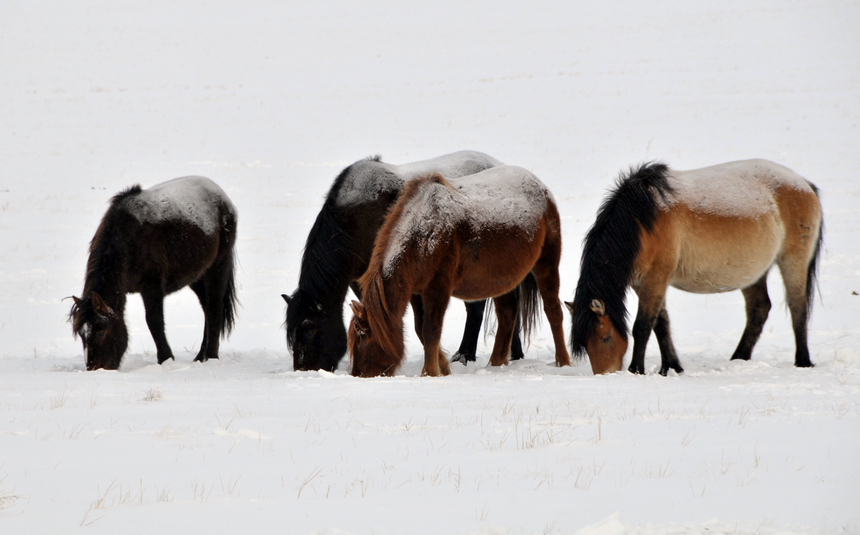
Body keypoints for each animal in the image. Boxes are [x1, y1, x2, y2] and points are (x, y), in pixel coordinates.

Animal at [69, 178, 239, 370]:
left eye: (100, 331)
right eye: (81, 335)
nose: (95, 368)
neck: (129, 237)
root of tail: (223, 197)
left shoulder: (152, 286)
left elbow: (154, 321)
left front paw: (166, 359)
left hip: (218, 267)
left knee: (214, 309)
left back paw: (211, 357)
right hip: (197, 276)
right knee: (207, 310)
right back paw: (200, 356)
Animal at [282, 151, 528, 372]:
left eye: (311, 329)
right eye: (291, 336)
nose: (304, 370)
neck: (356, 221)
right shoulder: (363, 280)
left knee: (479, 309)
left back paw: (468, 355)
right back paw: (510, 354)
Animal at [346, 166, 576, 376]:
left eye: (363, 339)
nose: (359, 375)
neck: (423, 233)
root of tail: (540, 186)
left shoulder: (438, 288)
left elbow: (431, 330)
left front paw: (429, 372)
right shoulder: (416, 292)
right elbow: (420, 329)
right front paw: (444, 368)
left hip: (547, 261)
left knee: (553, 310)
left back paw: (563, 362)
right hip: (503, 278)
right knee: (508, 313)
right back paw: (495, 364)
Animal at [568, 160, 824, 376]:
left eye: (605, 337)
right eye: (585, 343)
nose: (605, 374)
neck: (642, 221)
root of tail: (804, 183)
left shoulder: (655, 278)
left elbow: (642, 326)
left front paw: (636, 370)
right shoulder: (643, 284)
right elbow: (661, 325)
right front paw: (671, 367)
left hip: (793, 261)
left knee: (797, 307)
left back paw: (802, 361)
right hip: (754, 273)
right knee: (759, 310)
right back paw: (738, 359)